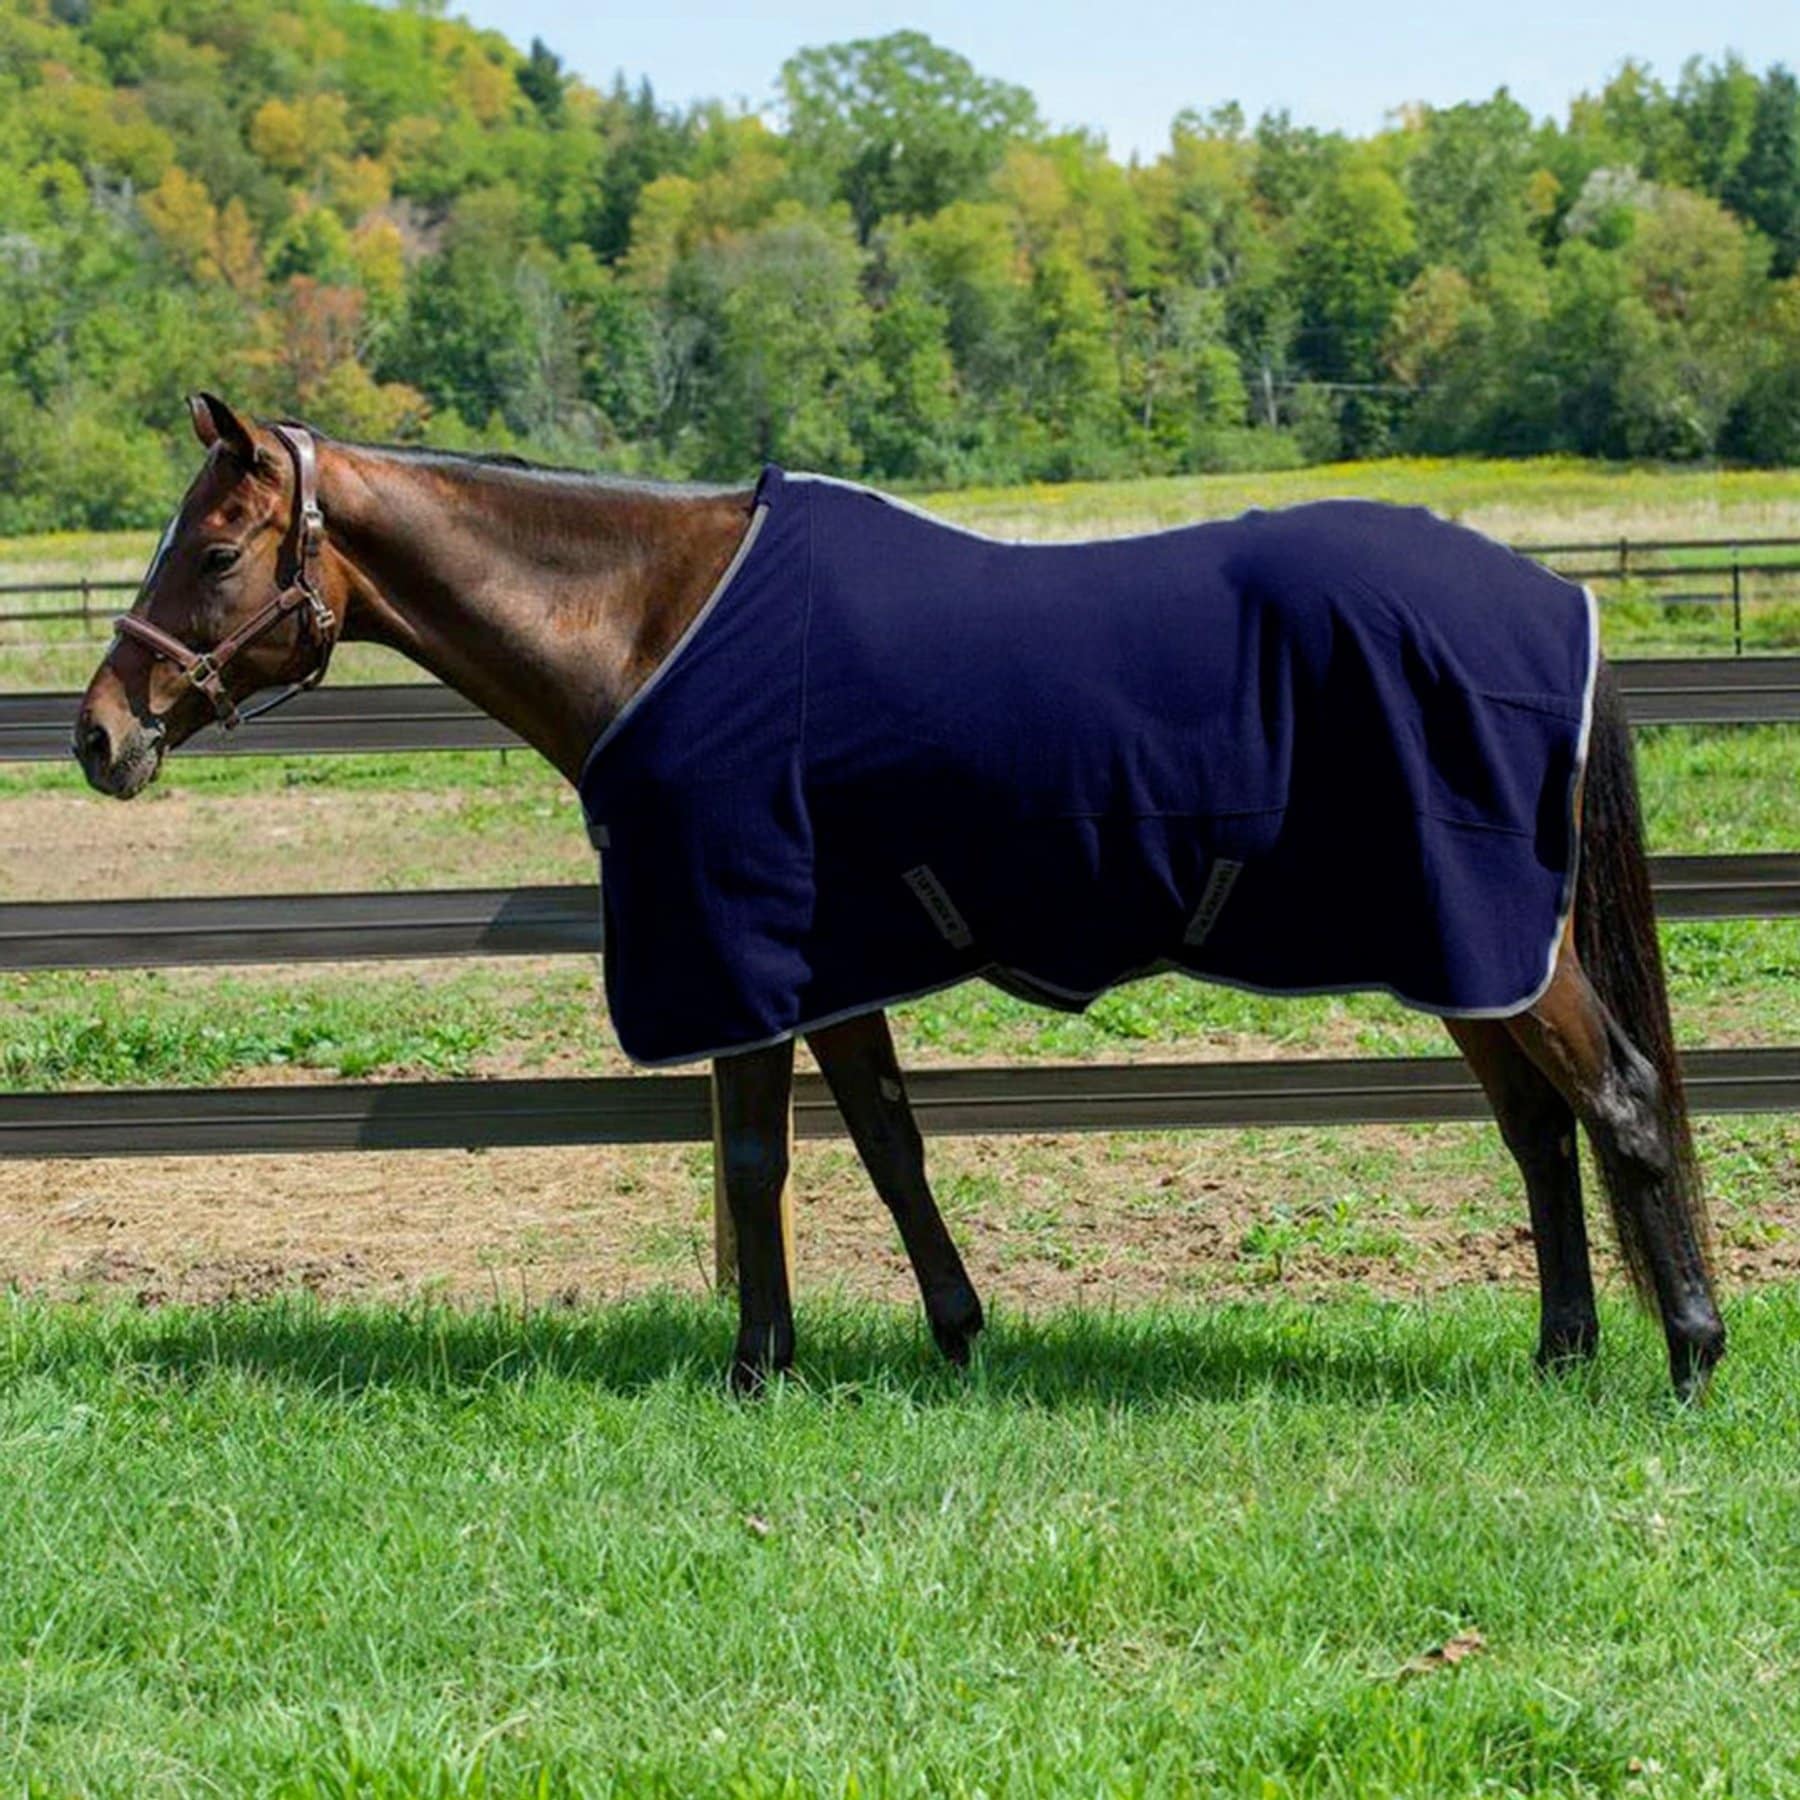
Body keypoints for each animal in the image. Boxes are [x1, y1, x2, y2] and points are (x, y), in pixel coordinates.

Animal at [73, 395, 1725, 1398]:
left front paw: (758, 1366)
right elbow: (885, 1145)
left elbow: (757, 1162)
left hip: (1497, 940)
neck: (654, 622)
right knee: (1538, 1130)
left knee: (1620, 1101)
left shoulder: (739, 947)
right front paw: (954, 1334)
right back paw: (1563, 1351)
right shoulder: (828, 960)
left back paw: (1691, 1353)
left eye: (212, 549)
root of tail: (1549, 598)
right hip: (1467, 948)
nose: (101, 734)